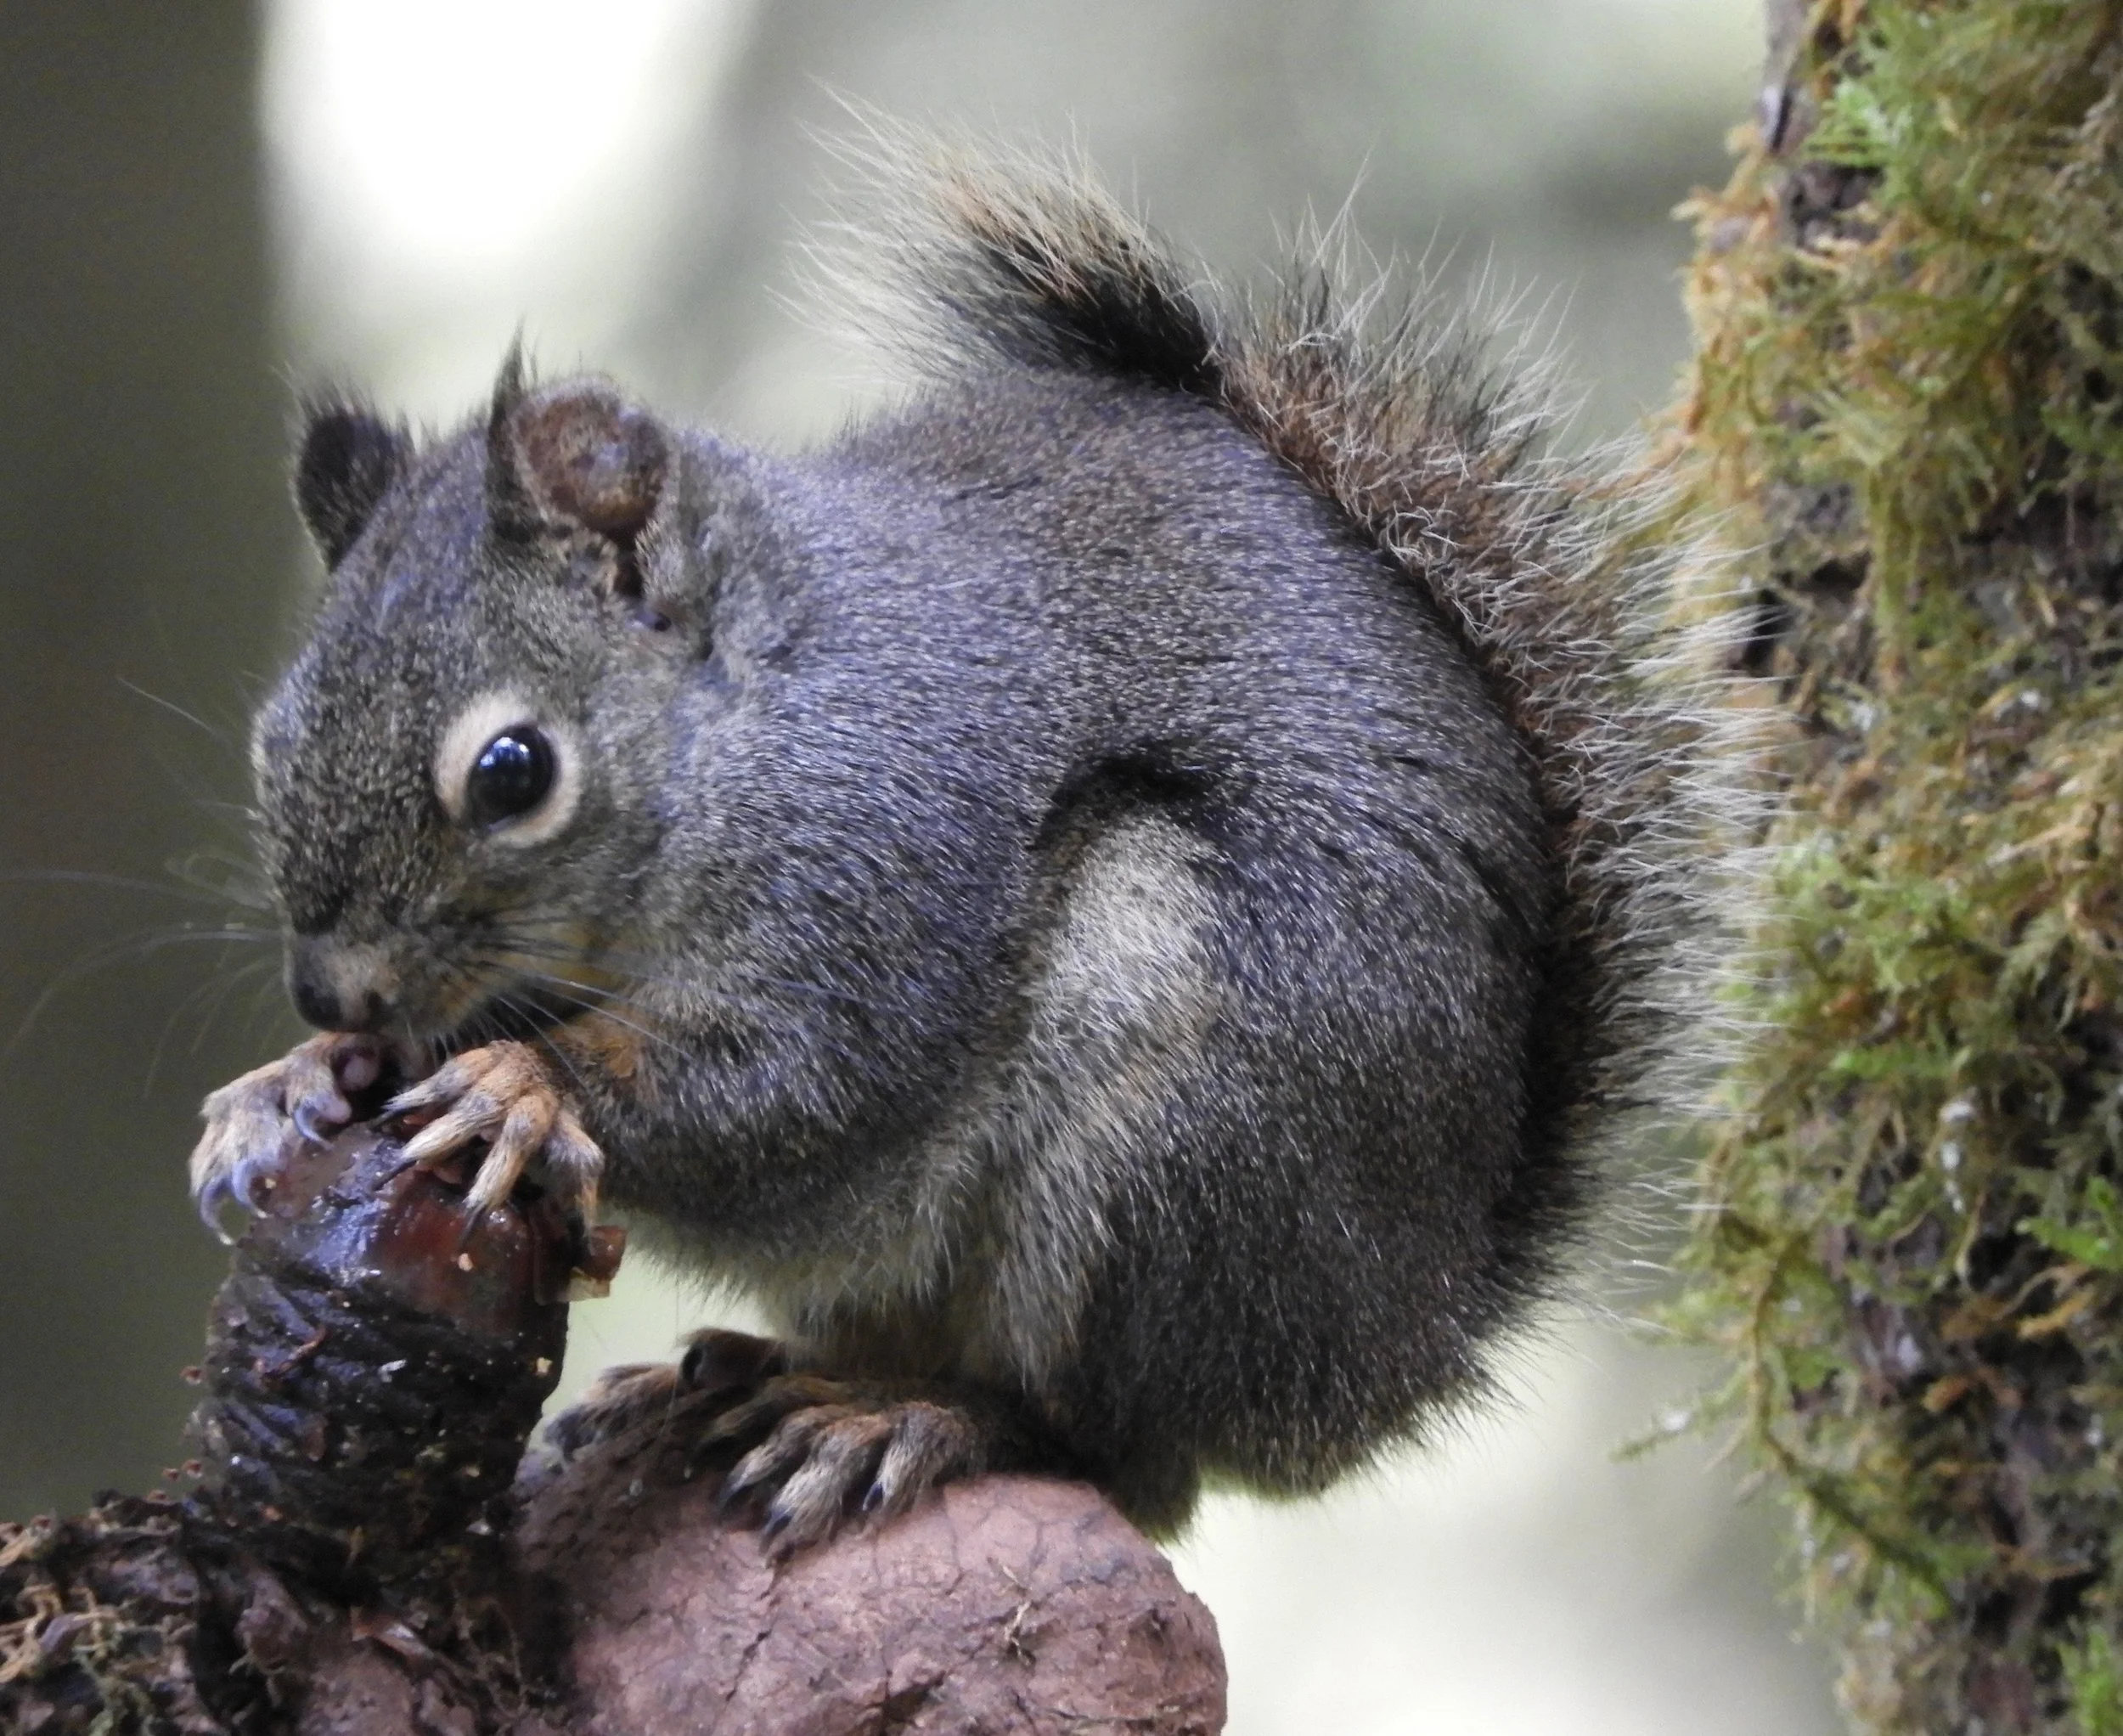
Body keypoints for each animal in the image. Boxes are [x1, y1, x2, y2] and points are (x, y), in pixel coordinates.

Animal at [189, 134, 1733, 1550]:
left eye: (514, 772)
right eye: (272, 736)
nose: (330, 989)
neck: (752, 726)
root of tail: (1404, 1348)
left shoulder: (892, 866)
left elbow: (791, 1087)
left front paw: (520, 1084)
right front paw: (288, 1083)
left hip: (1182, 1133)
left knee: (1122, 1459)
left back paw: (918, 1419)